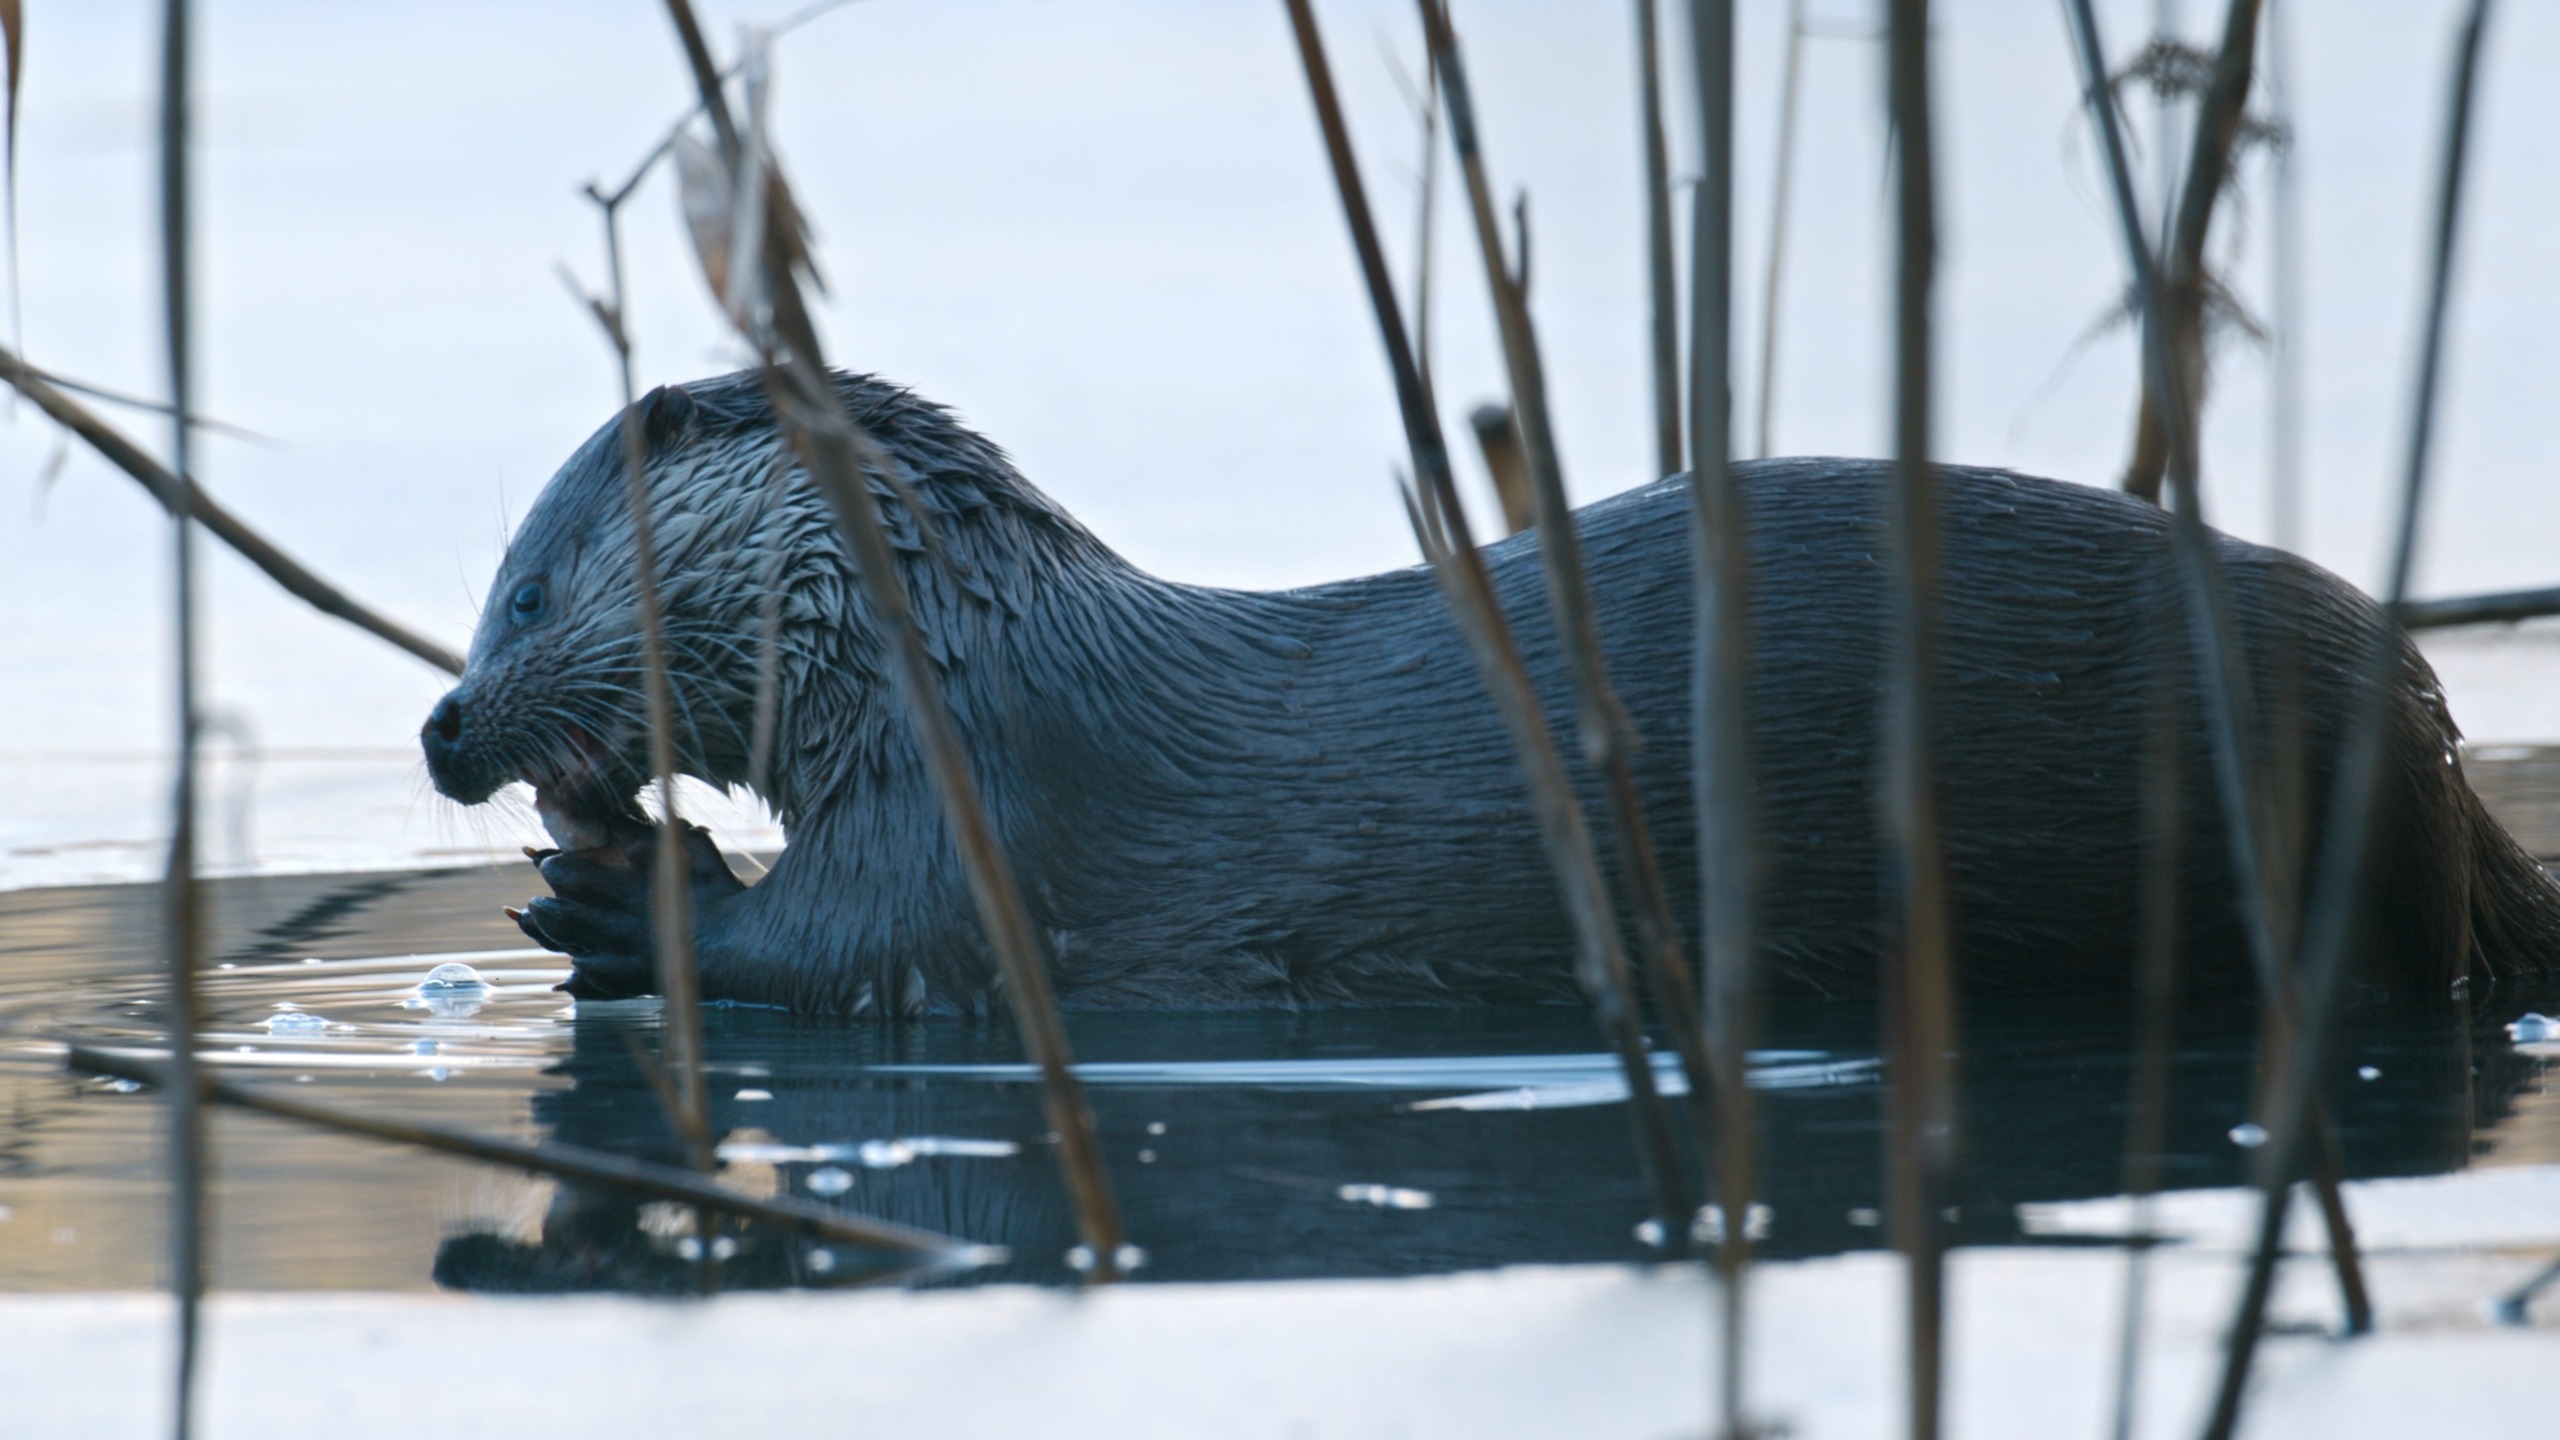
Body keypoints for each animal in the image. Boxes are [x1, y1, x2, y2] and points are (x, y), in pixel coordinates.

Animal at [419, 376, 2560, 1014]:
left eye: (520, 588)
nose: (442, 729)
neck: (952, 654)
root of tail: (2438, 741)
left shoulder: (983, 815)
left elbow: (850, 948)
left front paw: (621, 893)